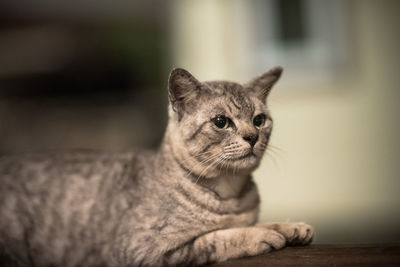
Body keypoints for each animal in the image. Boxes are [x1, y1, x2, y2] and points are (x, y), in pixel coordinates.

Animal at [0, 65, 312, 267]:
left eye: (259, 120)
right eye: (221, 122)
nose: (252, 137)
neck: (231, 195)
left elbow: (252, 222)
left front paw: (290, 227)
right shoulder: (141, 249)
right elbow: (213, 238)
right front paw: (261, 234)